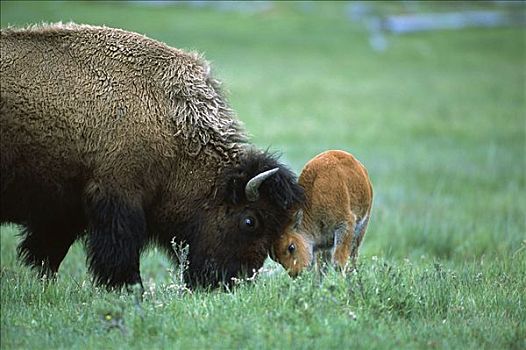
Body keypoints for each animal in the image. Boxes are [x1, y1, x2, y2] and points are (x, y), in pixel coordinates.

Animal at [0, 22, 306, 290]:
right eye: (249, 221)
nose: (232, 282)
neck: (170, 121)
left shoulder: (67, 207)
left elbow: (48, 252)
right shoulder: (117, 197)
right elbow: (119, 251)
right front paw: (132, 289)